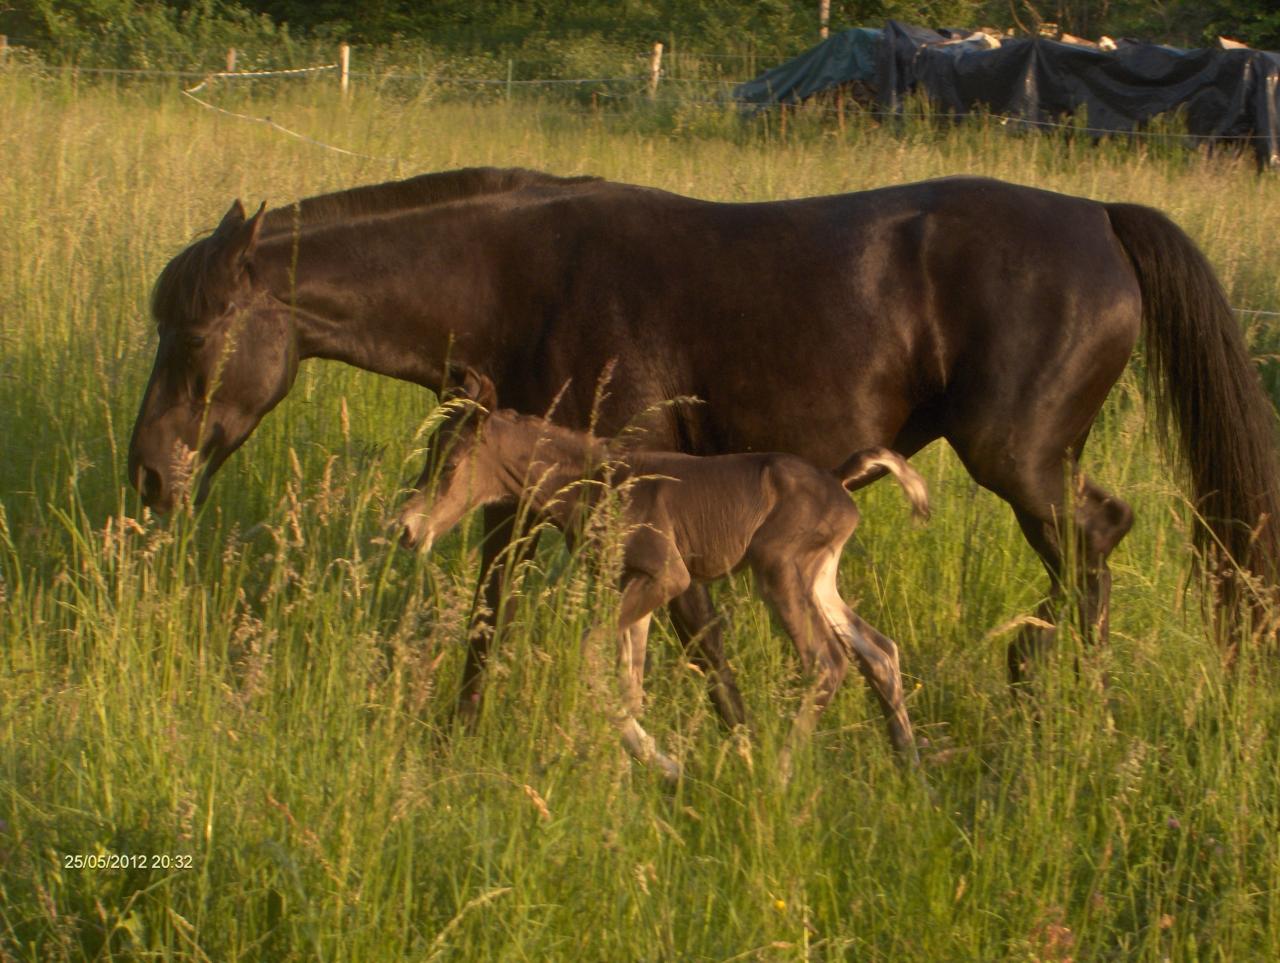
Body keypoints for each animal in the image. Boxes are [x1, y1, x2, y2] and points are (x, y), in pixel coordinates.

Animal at [129, 165, 1280, 727]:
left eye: (197, 329)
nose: (149, 473)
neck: (513, 277)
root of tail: (1098, 216)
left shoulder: (653, 496)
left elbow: (703, 645)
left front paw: (739, 756)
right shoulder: (517, 497)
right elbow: (488, 619)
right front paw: (452, 740)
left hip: (1019, 458)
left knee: (1089, 547)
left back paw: (1047, 691)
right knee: (1095, 545)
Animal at [396, 371, 931, 778]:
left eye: (452, 463)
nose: (406, 529)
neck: (595, 482)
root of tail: (837, 481)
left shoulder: (667, 576)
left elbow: (590, 653)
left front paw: (666, 765)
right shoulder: (629, 582)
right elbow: (629, 685)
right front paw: (635, 775)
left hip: (778, 568)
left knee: (826, 661)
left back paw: (778, 774)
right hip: (817, 578)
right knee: (879, 650)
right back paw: (913, 774)